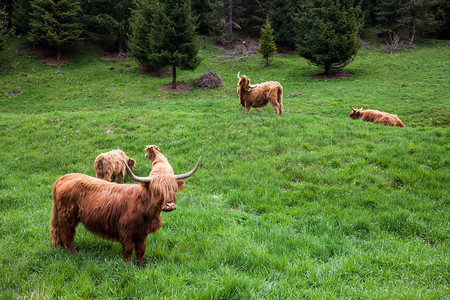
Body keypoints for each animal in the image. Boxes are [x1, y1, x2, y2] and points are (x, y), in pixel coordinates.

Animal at [49, 149, 200, 266]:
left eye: (173, 189)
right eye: (156, 190)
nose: (170, 205)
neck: (146, 210)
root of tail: (62, 178)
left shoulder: (142, 233)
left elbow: (141, 250)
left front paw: (141, 265)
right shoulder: (126, 231)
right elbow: (128, 249)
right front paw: (126, 265)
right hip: (68, 216)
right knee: (67, 234)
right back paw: (74, 254)